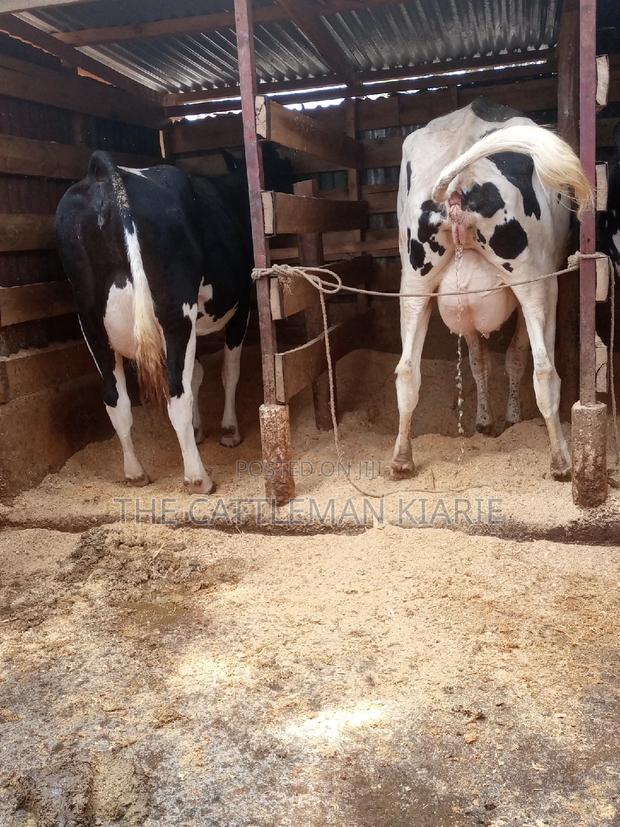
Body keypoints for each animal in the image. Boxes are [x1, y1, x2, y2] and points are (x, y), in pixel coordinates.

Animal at [55, 146, 290, 494]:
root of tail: (105, 173)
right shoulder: (240, 306)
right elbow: (227, 372)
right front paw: (228, 430)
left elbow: (197, 374)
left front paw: (198, 430)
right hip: (175, 313)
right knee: (175, 395)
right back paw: (197, 478)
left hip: (90, 323)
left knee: (116, 401)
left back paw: (135, 473)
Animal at [391, 97, 593, 482]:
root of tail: (458, 187)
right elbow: (513, 357)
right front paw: (509, 418)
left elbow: (478, 361)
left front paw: (484, 421)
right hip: (536, 281)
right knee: (544, 370)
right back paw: (561, 461)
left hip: (413, 283)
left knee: (407, 371)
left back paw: (401, 460)